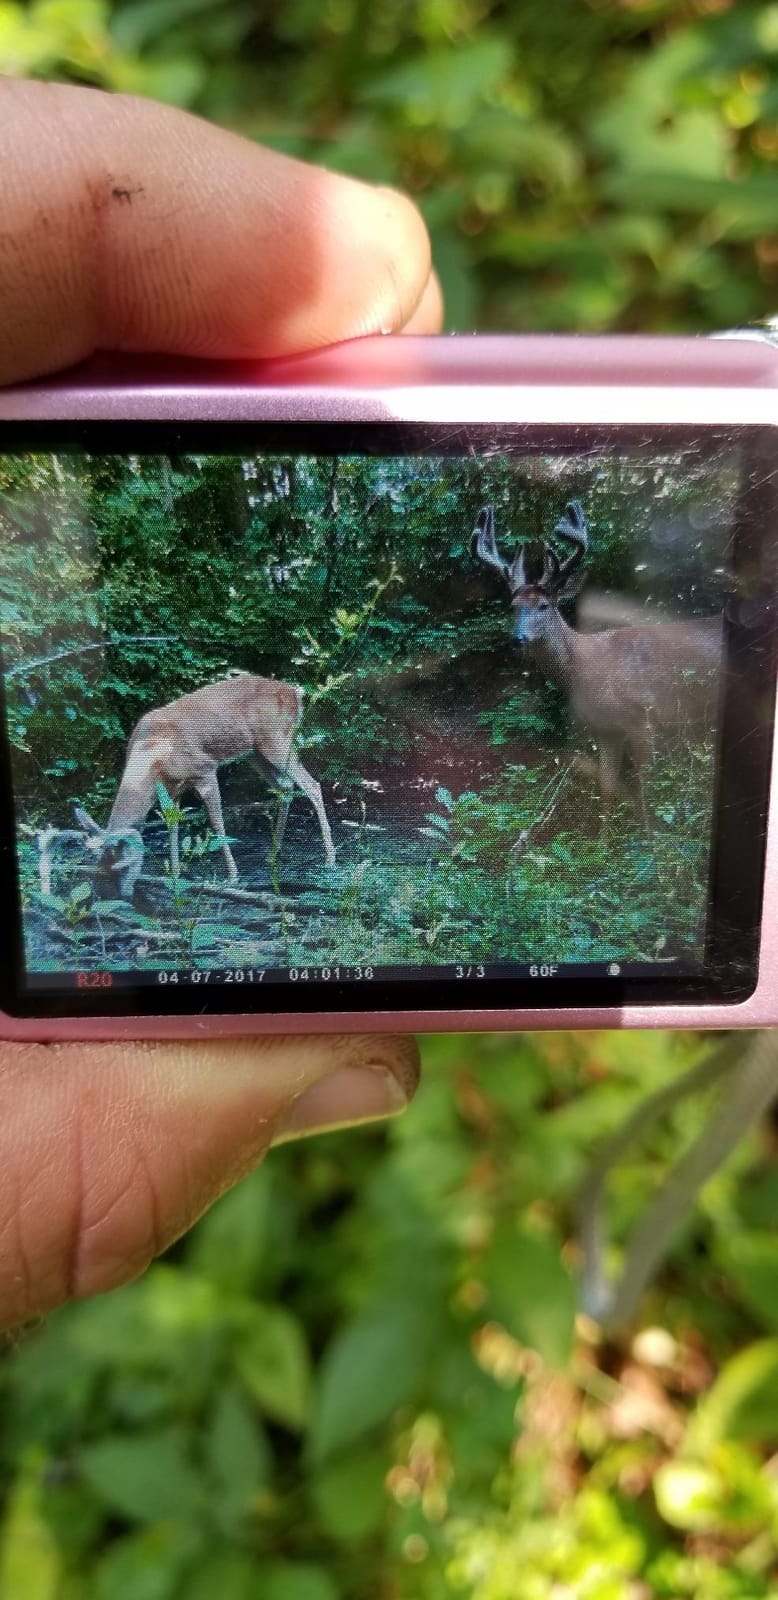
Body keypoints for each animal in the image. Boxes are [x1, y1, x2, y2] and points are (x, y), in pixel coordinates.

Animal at [74, 673, 335, 897]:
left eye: (123, 863)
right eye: (101, 865)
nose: (123, 895)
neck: (153, 754)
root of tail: (296, 693)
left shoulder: (205, 770)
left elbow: (216, 822)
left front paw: (232, 877)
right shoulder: (172, 790)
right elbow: (173, 827)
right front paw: (175, 876)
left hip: (277, 740)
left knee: (312, 785)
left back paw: (330, 859)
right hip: (256, 752)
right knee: (285, 786)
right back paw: (273, 853)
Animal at [471, 500, 722, 827]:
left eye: (544, 605)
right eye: (514, 606)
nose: (518, 638)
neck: (589, 665)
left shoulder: (644, 715)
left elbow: (645, 789)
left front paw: (649, 838)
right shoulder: (606, 728)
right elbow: (607, 787)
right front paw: (604, 838)